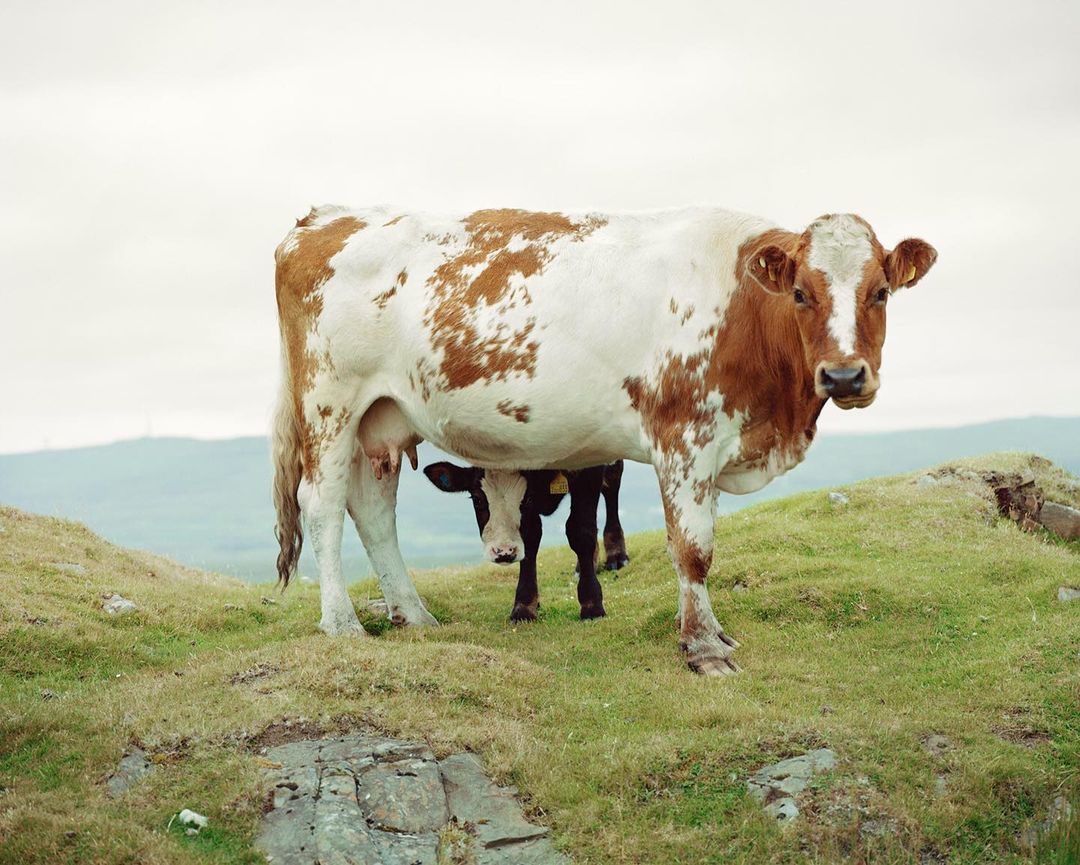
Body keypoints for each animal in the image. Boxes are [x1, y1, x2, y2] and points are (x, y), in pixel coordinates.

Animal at [422, 460, 629, 622]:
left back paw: (616, 555)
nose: (504, 552)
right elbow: (531, 539)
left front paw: (592, 605)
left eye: (527, 499)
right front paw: (524, 606)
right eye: (477, 500)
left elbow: (581, 530)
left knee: (612, 479)